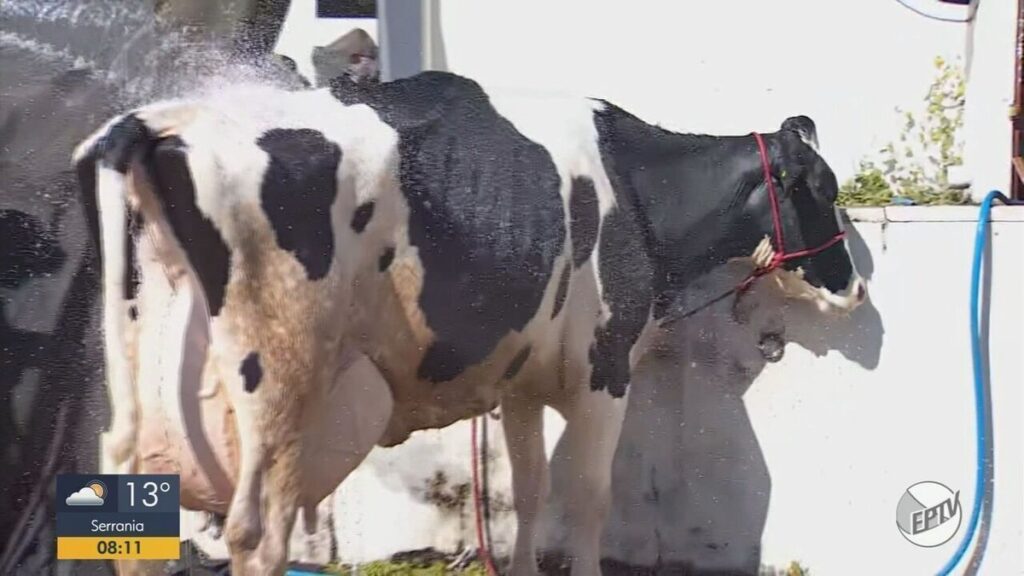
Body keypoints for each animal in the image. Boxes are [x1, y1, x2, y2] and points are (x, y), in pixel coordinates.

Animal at [73, 70, 866, 576]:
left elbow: (530, 491)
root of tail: (162, 119)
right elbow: (588, 499)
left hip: (143, 391)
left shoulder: (522, 383)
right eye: (823, 188)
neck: (637, 187)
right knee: (257, 536)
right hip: (278, 383)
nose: (856, 289)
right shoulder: (605, 371)